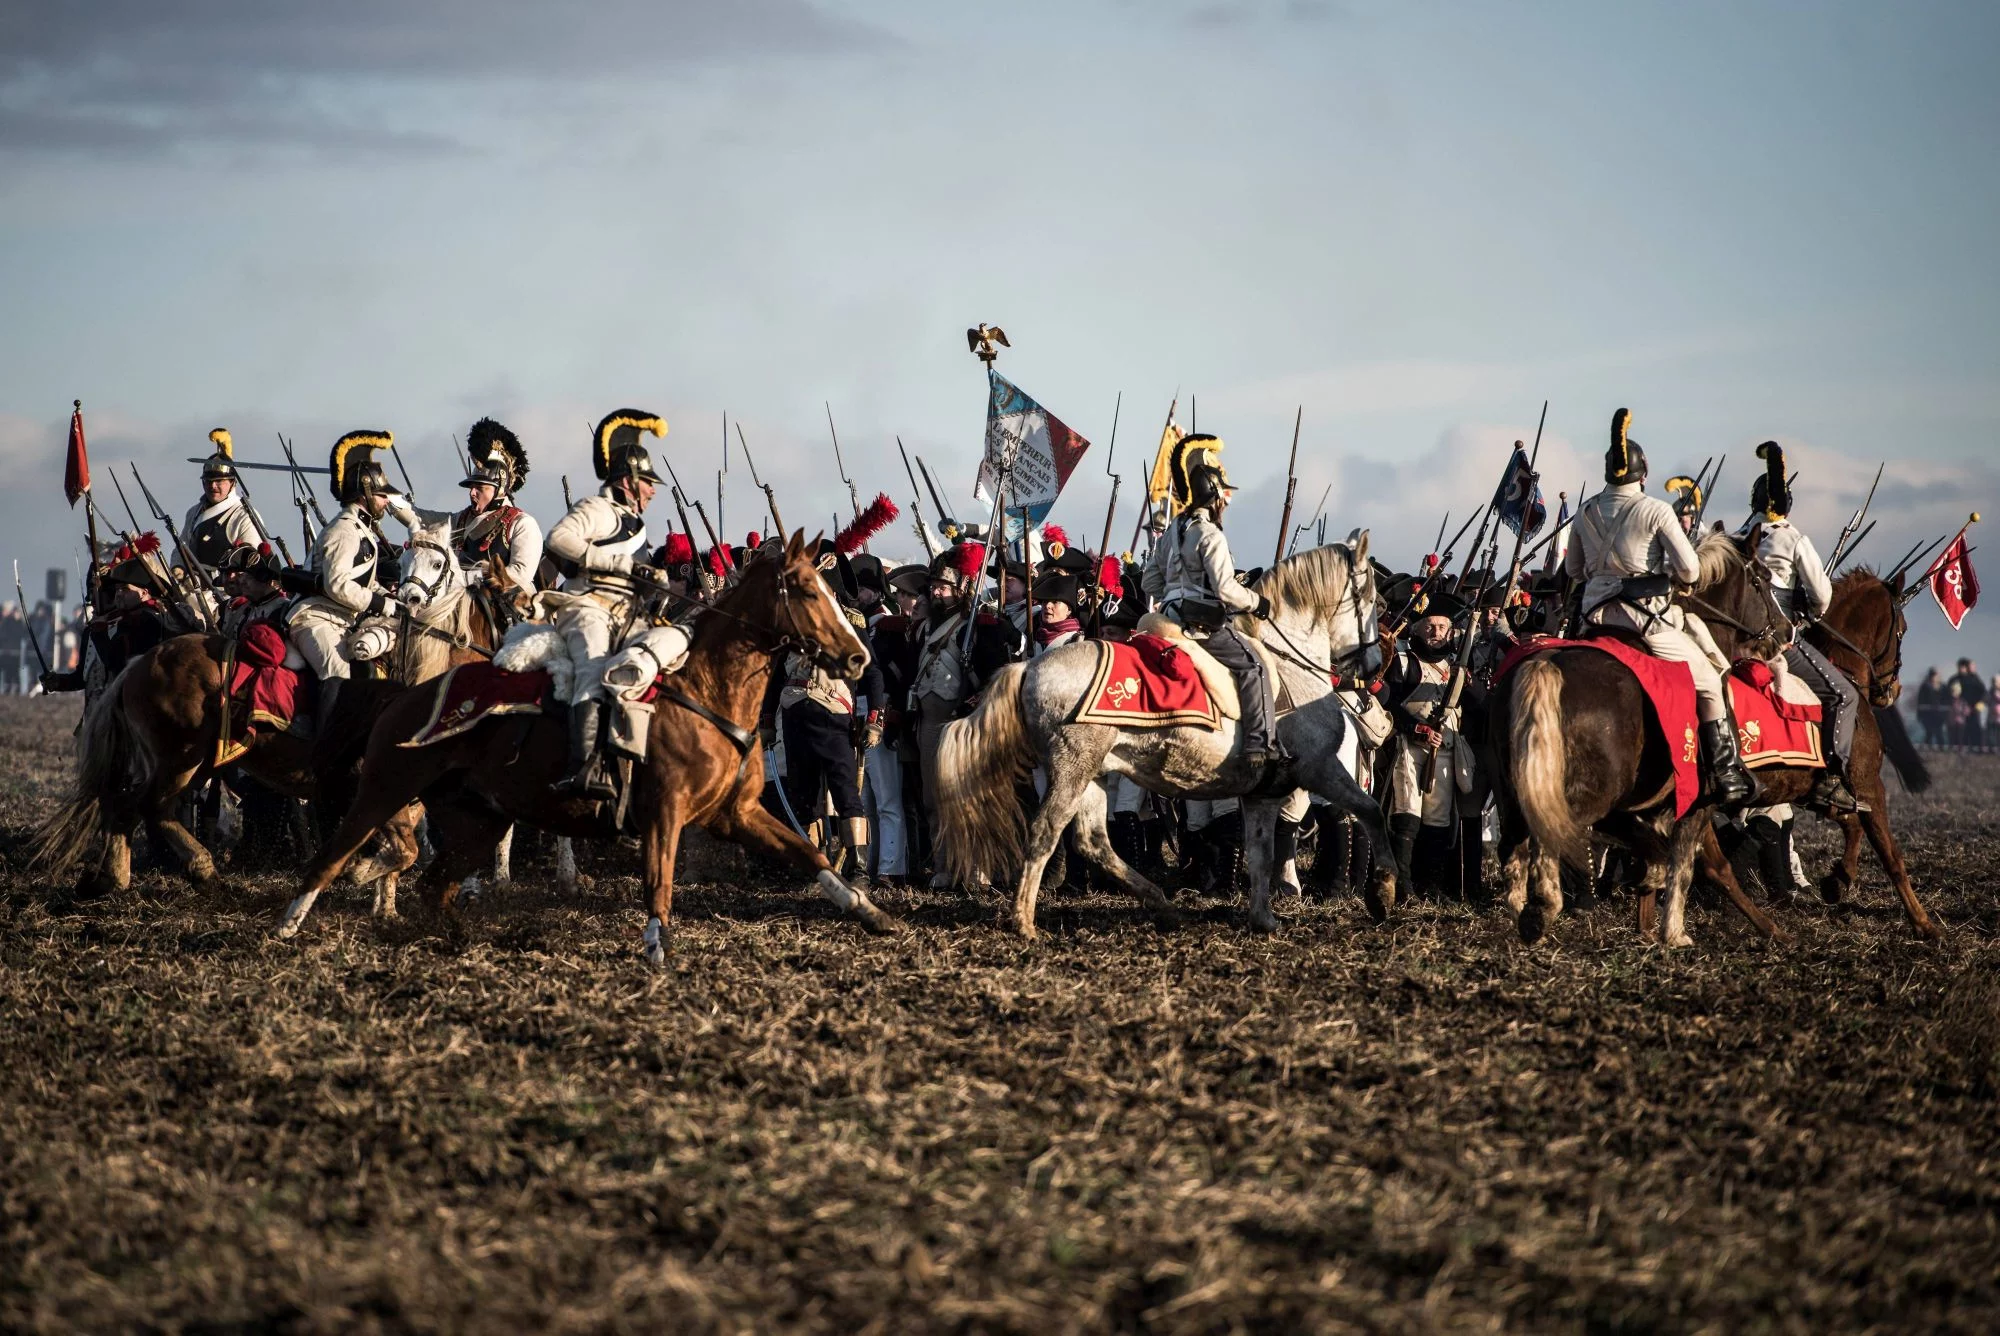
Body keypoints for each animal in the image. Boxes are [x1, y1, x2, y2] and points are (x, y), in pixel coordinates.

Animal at [30, 516, 508, 912]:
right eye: (409, 559)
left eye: (437, 562)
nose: (406, 596)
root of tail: (139, 664)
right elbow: (400, 851)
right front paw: (357, 875)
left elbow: (403, 852)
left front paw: (383, 907)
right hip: (181, 760)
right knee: (148, 805)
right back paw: (197, 872)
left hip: (186, 762)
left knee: (133, 804)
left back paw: (113, 880)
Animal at [274, 528, 900, 956]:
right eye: (803, 589)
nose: (857, 658)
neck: (705, 691)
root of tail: (402, 697)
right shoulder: (665, 813)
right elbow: (659, 883)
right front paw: (656, 947)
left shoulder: (737, 814)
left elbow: (809, 853)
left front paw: (869, 910)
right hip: (384, 788)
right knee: (335, 857)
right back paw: (286, 928)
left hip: (477, 820)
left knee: (434, 883)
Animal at [936, 536, 1392, 940]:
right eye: (1372, 599)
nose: (1373, 667)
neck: (1290, 665)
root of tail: (1029, 667)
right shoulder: (1321, 769)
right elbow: (1370, 812)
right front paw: (1383, 892)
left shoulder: (1264, 792)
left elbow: (1262, 853)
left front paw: (1263, 919)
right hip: (1073, 769)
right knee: (1048, 831)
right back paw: (1025, 920)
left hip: (1094, 774)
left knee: (1093, 841)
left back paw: (1164, 904)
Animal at [1496, 528, 1792, 948]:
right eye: (1762, 579)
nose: (1786, 632)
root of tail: (1543, 665)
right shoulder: (1696, 802)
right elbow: (1682, 866)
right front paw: (1674, 932)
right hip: (1588, 797)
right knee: (1555, 837)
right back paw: (1545, 908)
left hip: (1512, 792)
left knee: (1514, 846)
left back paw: (1527, 912)